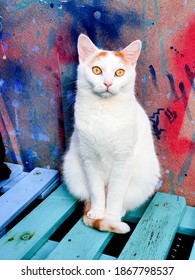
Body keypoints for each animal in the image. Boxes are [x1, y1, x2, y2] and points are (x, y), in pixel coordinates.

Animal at [62, 33, 160, 234]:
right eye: (96, 70)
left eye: (120, 73)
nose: (107, 83)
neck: (104, 112)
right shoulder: (89, 159)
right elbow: (96, 191)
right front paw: (99, 213)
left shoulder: (123, 161)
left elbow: (115, 194)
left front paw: (111, 216)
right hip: (72, 170)